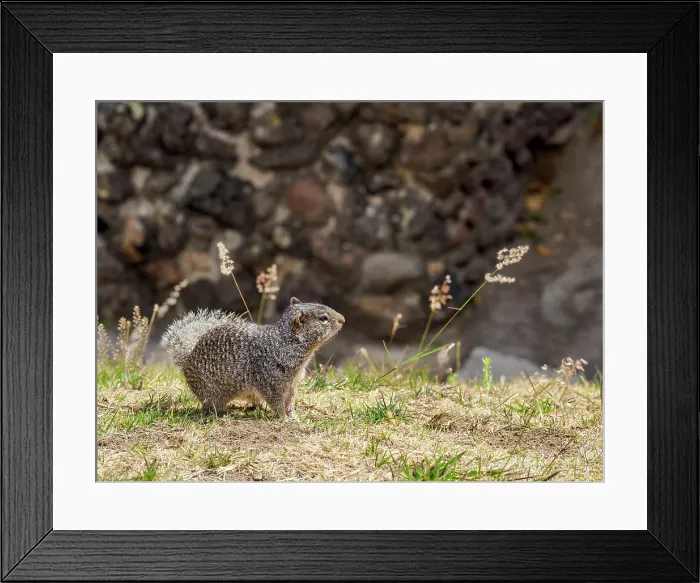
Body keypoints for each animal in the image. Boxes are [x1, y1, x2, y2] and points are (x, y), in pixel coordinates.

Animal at [161, 298, 344, 418]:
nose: (343, 319)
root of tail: (188, 357)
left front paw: (293, 417)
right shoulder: (271, 383)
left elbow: (290, 402)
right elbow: (277, 403)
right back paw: (222, 413)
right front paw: (283, 419)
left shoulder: (292, 384)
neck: (285, 343)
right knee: (209, 406)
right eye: (323, 318)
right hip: (210, 393)